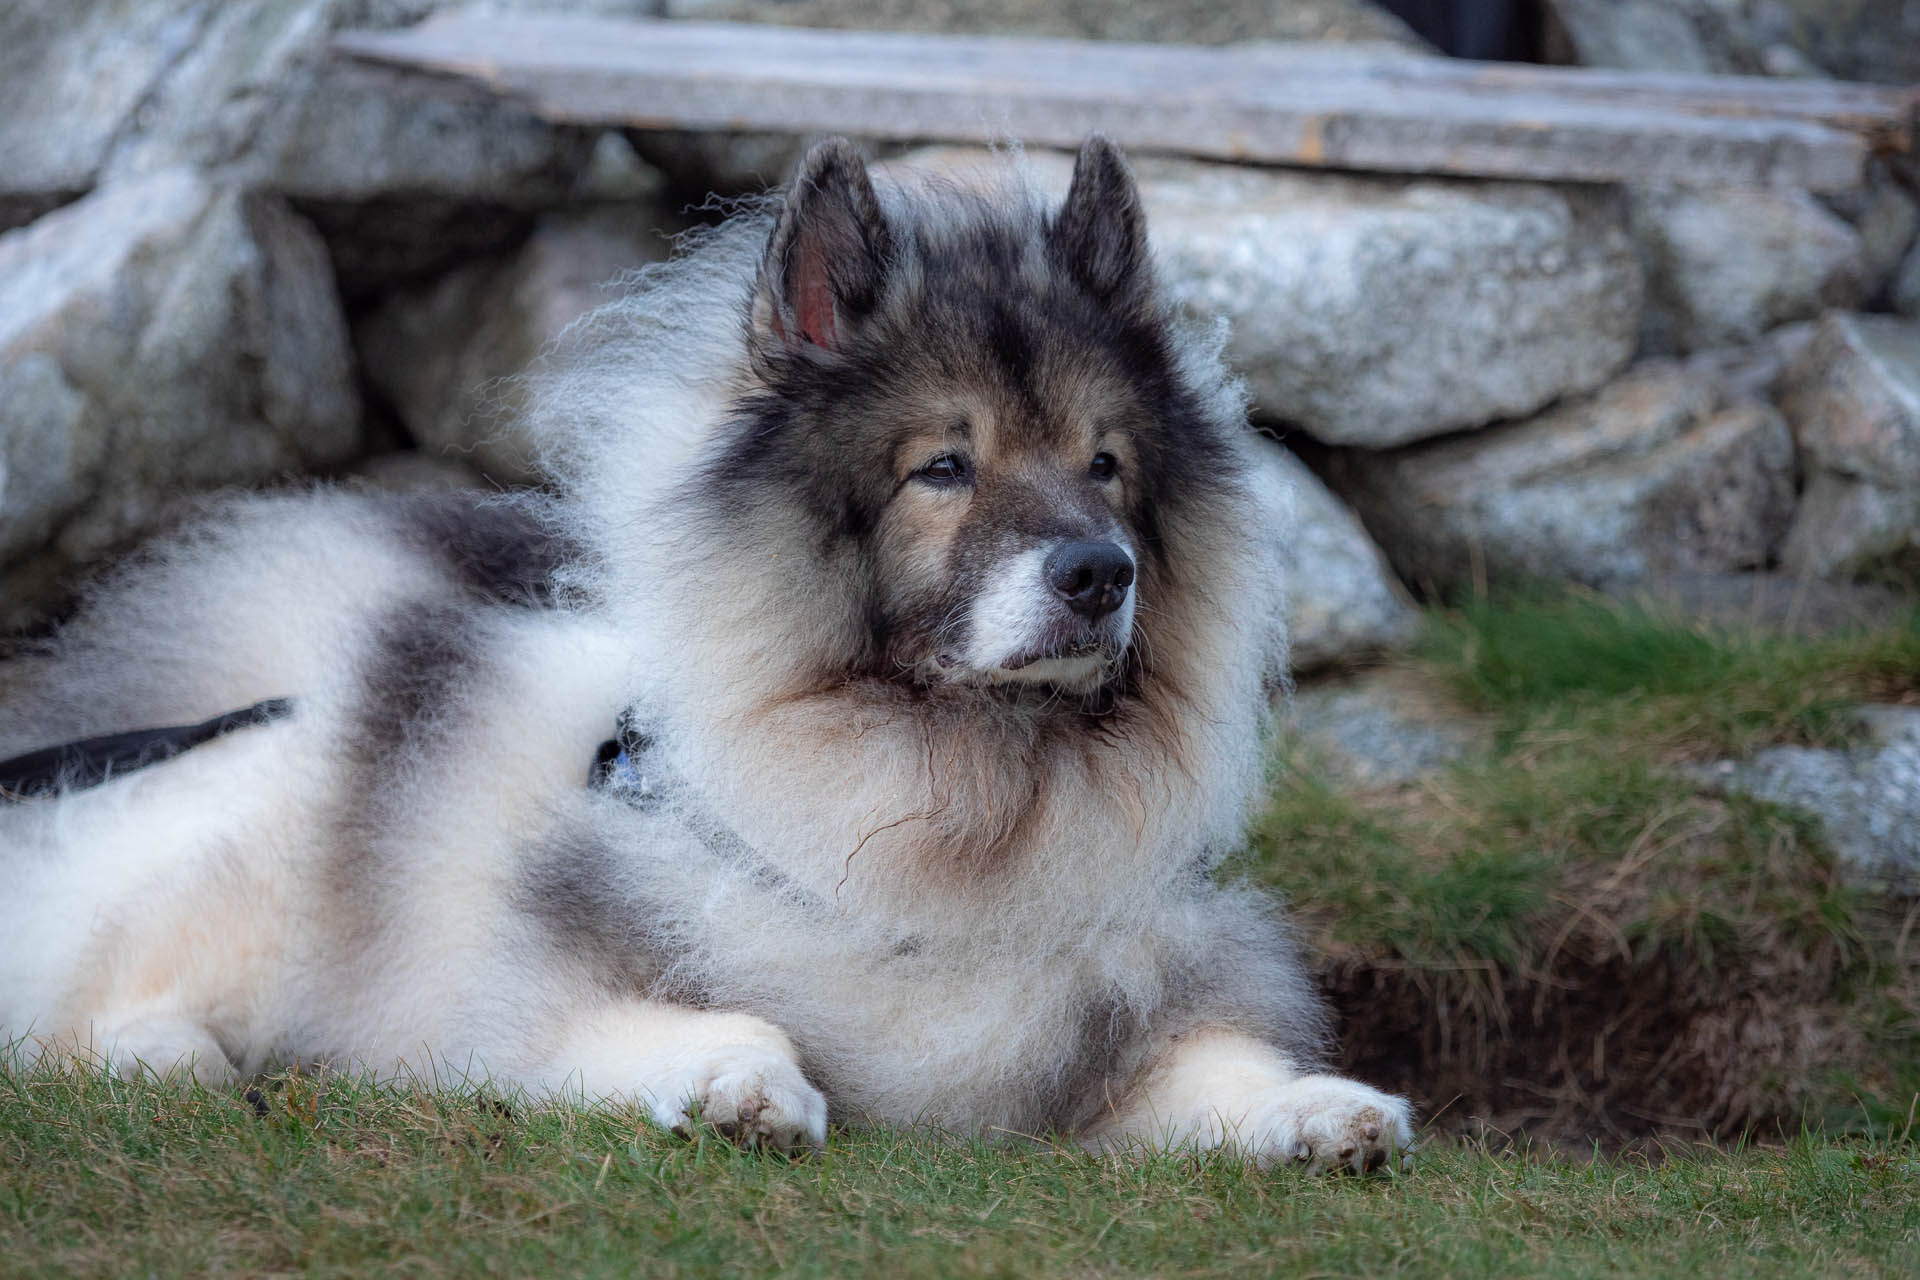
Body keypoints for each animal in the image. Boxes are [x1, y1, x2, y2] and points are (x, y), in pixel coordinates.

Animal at [0, 138, 1413, 1174]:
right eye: (943, 468)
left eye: (1105, 463)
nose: (1098, 573)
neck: (952, 808)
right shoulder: (539, 1002)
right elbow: (722, 1014)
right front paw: (745, 1084)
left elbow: (1222, 1065)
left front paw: (1323, 1109)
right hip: (251, 865)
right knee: (89, 1002)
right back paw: (181, 1059)